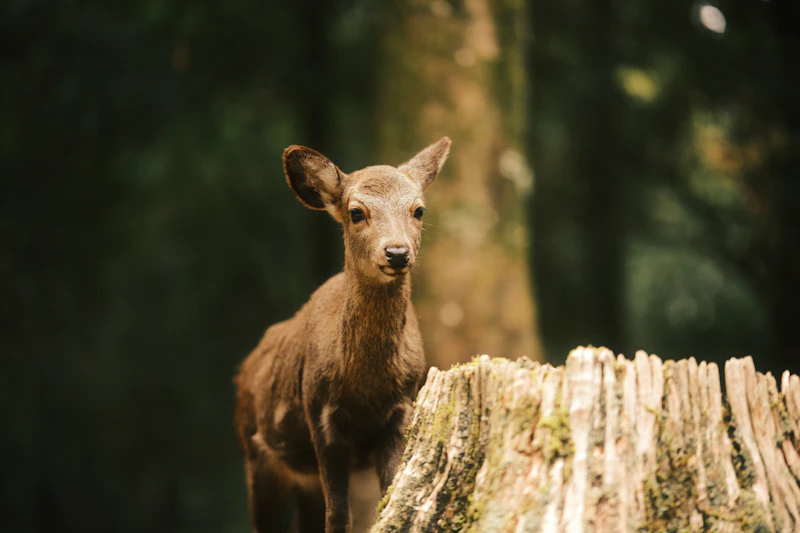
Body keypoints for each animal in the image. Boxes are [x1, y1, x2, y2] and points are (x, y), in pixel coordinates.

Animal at [234, 137, 452, 533]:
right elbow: (338, 515)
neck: (365, 388)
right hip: (255, 453)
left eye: (418, 210)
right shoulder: (319, 411)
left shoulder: (402, 407)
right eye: (356, 212)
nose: (397, 252)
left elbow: (388, 497)